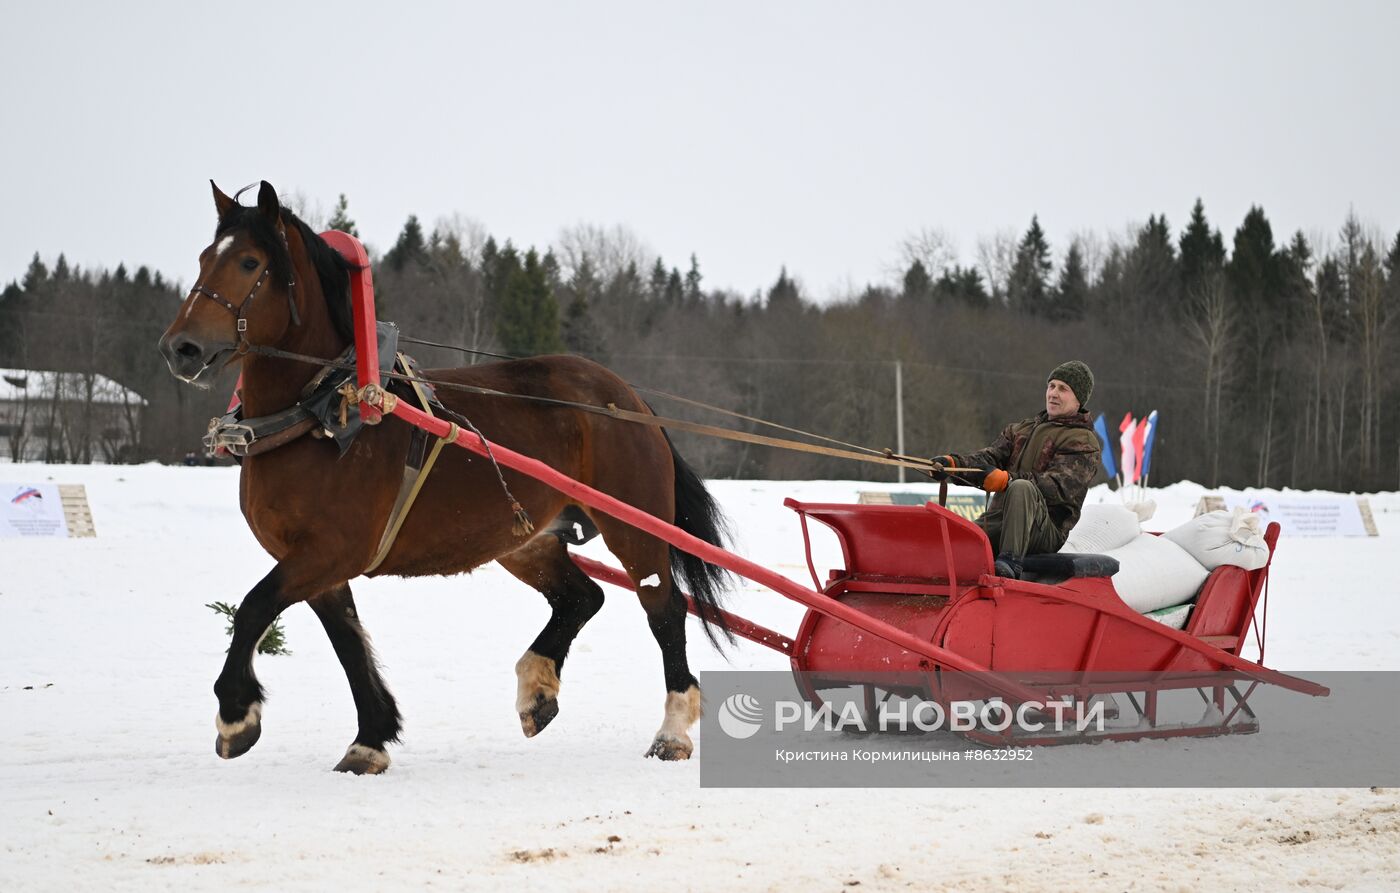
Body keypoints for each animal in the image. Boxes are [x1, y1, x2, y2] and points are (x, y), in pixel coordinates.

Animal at [161, 178, 733, 772]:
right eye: (204, 258)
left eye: (250, 262)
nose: (180, 348)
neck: (324, 412)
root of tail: (628, 397)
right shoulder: (314, 563)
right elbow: (347, 643)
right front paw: (370, 738)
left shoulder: (329, 553)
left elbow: (253, 610)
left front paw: (236, 714)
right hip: (525, 539)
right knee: (582, 597)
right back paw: (537, 690)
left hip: (634, 527)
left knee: (664, 610)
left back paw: (671, 732)